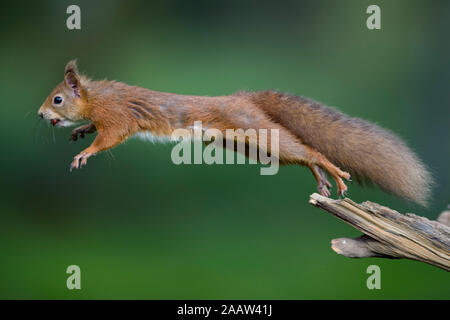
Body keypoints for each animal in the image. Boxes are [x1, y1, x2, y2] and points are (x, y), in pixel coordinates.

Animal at [37, 59, 432, 205]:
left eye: (57, 99)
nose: (40, 114)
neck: (96, 97)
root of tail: (243, 98)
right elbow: (97, 130)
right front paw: (81, 131)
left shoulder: (117, 117)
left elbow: (110, 138)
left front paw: (83, 153)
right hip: (255, 146)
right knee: (300, 155)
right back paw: (319, 176)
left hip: (256, 131)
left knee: (309, 149)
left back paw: (333, 172)